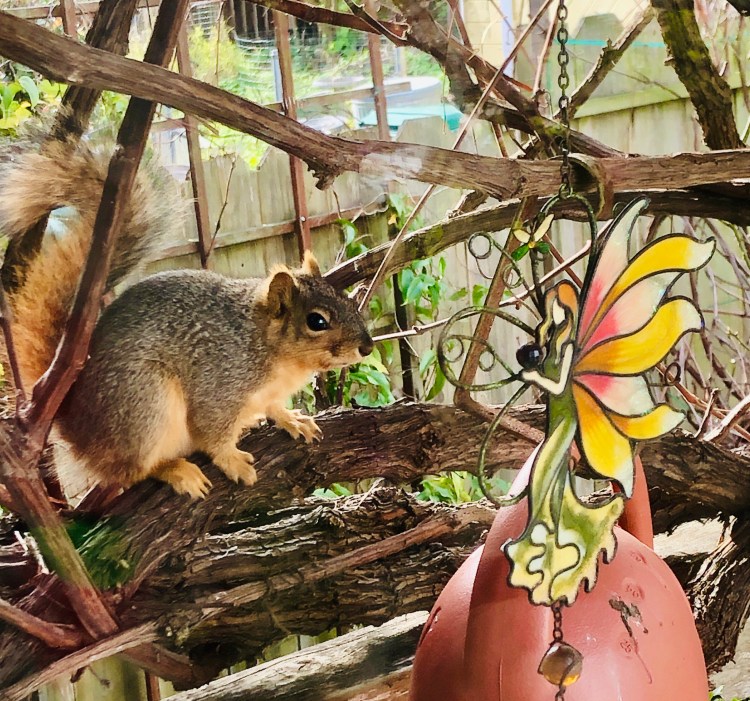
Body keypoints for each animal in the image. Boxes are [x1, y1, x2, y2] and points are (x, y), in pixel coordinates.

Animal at [0, 135, 373, 499]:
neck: (269, 349)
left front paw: (292, 419)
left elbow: (273, 407)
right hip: (145, 405)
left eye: (344, 298)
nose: (367, 347)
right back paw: (176, 470)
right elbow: (212, 433)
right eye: (316, 322)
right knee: (132, 471)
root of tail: (77, 428)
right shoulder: (218, 384)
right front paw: (232, 460)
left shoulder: (266, 393)